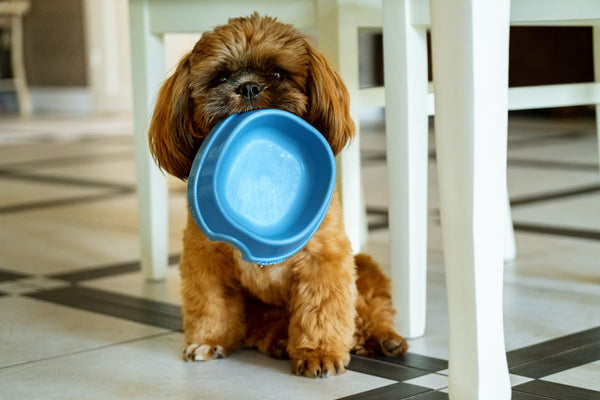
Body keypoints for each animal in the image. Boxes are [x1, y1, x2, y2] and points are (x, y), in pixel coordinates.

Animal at [148, 12, 408, 378]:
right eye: (221, 76)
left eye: (277, 74)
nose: (248, 87)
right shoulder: (205, 260)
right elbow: (209, 303)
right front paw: (208, 339)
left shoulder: (324, 259)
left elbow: (321, 309)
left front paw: (319, 353)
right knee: (268, 323)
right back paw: (280, 339)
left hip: (365, 264)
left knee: (370, 305)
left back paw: (381, 336)